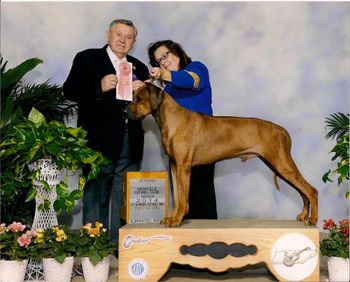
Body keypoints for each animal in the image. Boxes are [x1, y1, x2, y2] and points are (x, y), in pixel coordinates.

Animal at [126, 83, 318, 227]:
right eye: (133, 96)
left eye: (139, 98)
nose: (124, 111)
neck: (172, 120)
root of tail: (282, 130)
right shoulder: (174, 165)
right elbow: (177, 197)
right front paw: (171, 218)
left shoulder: (183, 167)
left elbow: (183, 198)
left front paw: (178, 219)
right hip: (277, 165)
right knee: (302, 192)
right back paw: (304, 216)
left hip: (282, 164)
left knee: (310, 190)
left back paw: (313, 219)